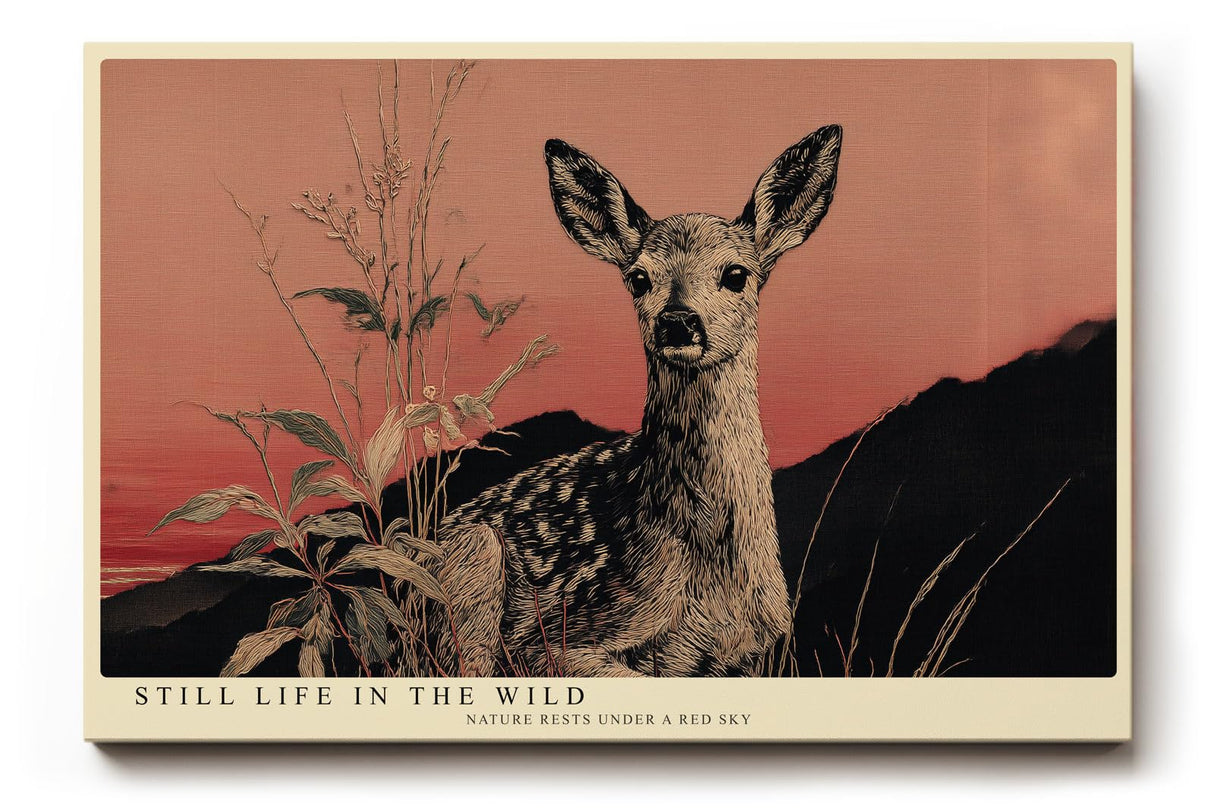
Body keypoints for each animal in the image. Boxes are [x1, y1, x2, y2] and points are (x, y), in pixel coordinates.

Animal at [432, 124, 842, 677]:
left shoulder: (756, 651)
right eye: (638, 277)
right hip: (469, 568)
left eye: (736, 274)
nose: (678, 321)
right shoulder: (561, 636)